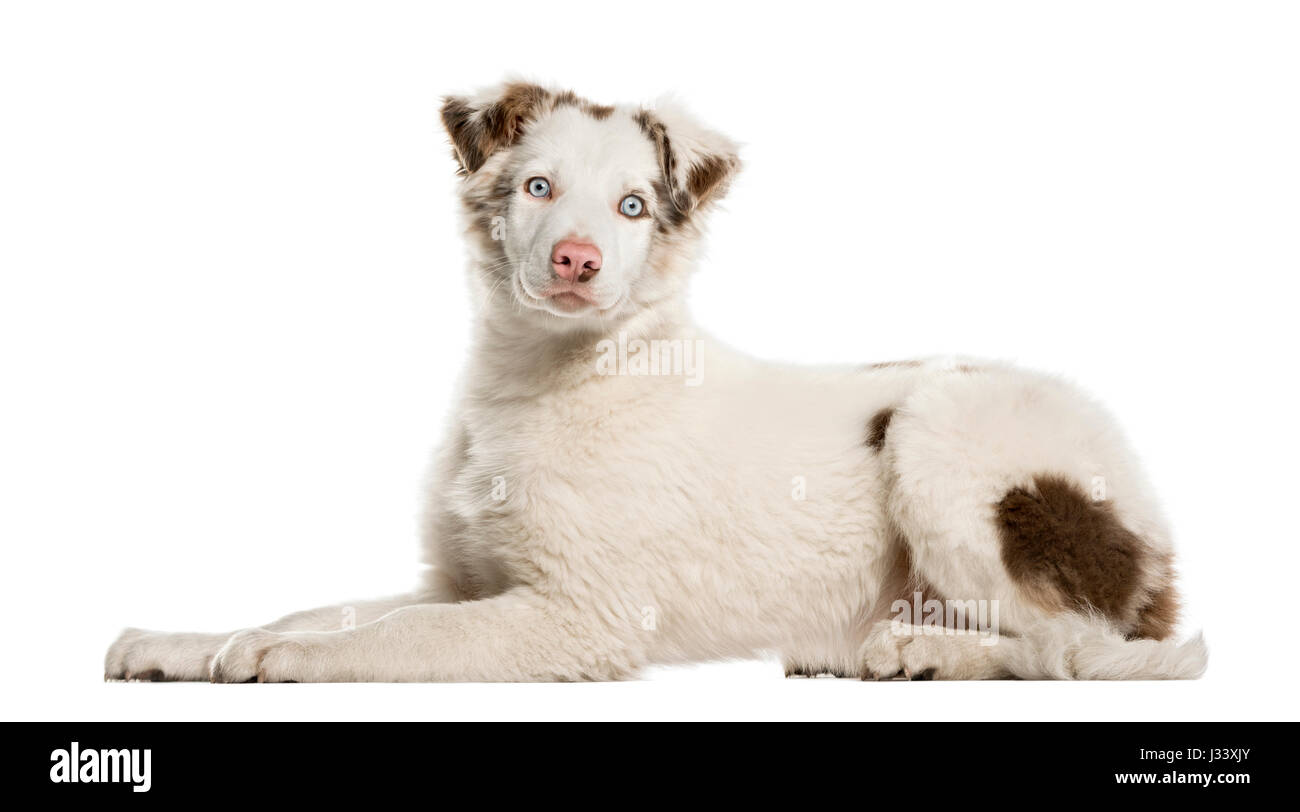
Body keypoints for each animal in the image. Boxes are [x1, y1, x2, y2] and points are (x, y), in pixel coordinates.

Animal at [104, 82, 1206, 680]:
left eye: (634, 205)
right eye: (536, 186)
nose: (577, 259)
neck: (546, 378)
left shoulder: (574, 617)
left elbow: (399, 631)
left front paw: (286, 662)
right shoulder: (463, 576)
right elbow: (328, 605)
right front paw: (192, 639)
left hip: (941, 437)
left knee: (1075, 643)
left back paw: (920, 650)